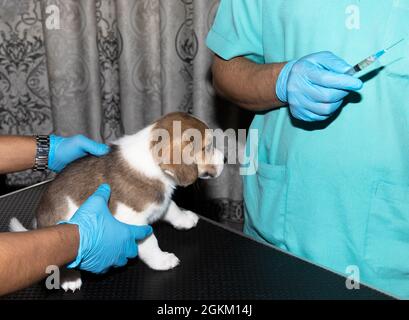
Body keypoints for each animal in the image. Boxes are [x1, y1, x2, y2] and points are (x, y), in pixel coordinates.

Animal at [8, 112, 223, 292]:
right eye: (207, 147)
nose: (226, 157)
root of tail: (39, 224)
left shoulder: (160, 200)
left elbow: (172, 208)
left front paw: (185, 219)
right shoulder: (133, 219)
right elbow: (150, 241)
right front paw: (161, 260)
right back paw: (69, 278)